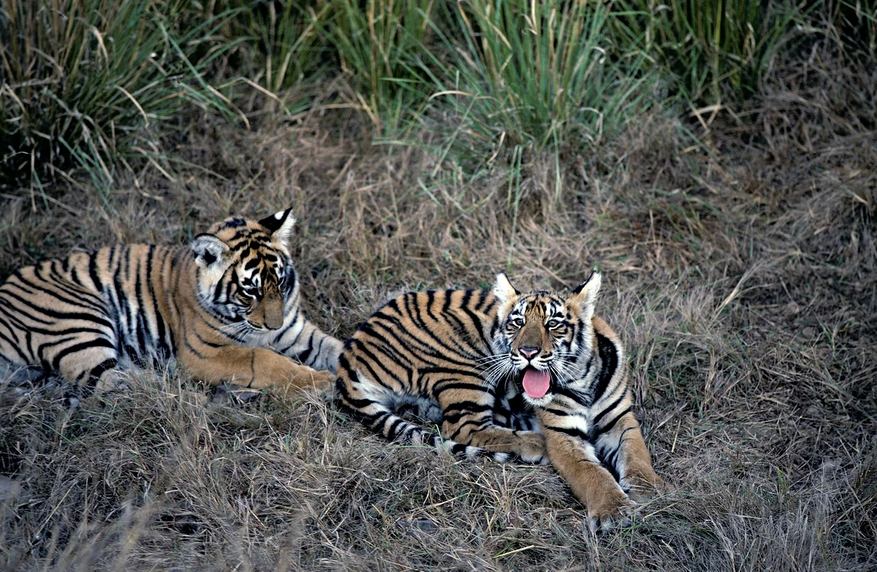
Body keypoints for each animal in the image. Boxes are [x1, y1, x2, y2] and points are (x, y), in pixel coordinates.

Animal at [0, 207, 342, 397]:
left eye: (280, 283)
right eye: (250, 291)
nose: (274, 324)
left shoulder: (295, 331)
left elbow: (335, 348)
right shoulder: (202, 352)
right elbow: (261, 358)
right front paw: (323, 382)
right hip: (79, 318)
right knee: (112, 382)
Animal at [334, 271, 664, 531]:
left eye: (553, 323)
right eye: (517, 322)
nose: (528, 352)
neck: (583, 378)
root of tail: (350, 354)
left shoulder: (620, 419)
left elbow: (637, 453)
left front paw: (651, 490)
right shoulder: (563, 435)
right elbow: (591, 473)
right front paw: (615, 511)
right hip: (465, 366)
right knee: (465, 428)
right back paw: (533, 444)